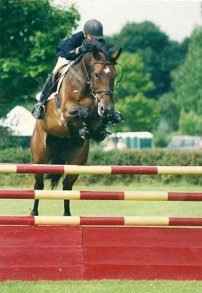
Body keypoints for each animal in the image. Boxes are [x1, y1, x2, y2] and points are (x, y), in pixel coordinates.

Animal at [30, 40, 121, 216]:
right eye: (97, 74)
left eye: (113, 75)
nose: (106, 109)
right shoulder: (66, 111)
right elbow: (83, 112)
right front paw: (86, 125)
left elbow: (97, 117)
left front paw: (100, 126)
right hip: (40, 157)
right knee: (39, 185)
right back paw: (34, 213)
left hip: (76, 160)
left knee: (67, 186)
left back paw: (67, 216)